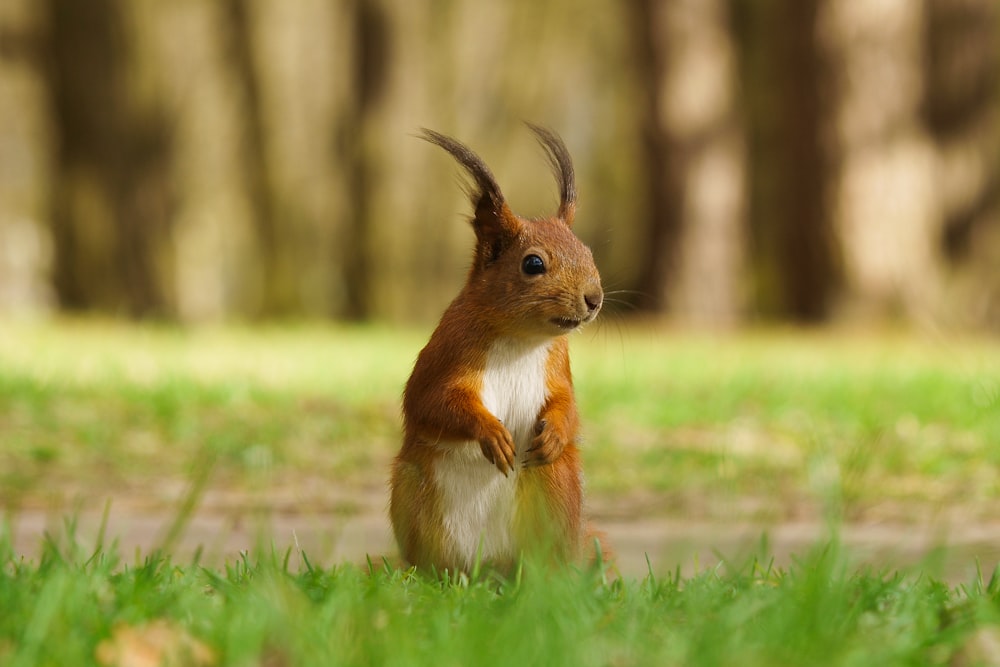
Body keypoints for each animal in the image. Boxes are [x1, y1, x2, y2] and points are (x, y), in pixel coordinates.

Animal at [388, 126, 600, 576]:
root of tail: (489, 567)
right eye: (533, 264)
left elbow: (568, 405)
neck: (521, 339)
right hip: (411, 490)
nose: (594, 299)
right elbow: (430, 402)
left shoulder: (558, 365)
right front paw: (492, 434)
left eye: (588, 252)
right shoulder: (446, 352)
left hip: (557, 488)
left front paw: (555, 433)